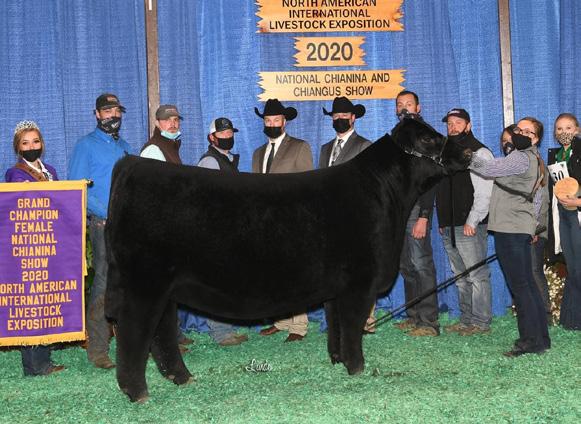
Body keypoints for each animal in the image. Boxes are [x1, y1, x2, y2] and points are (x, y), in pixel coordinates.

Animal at [104, 118, 472, 402]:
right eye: (428, 138)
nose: (467, 151)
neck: (384, 194)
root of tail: (132, 165)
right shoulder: (360, 282)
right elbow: (353, 326)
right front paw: (357, 368)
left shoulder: (338, 287)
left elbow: (335, 324)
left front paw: (337, 360)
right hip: (144, 285)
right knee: (134, 333)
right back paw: (138, 392)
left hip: (165, 288)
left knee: (162, 333)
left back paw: (181, 377)